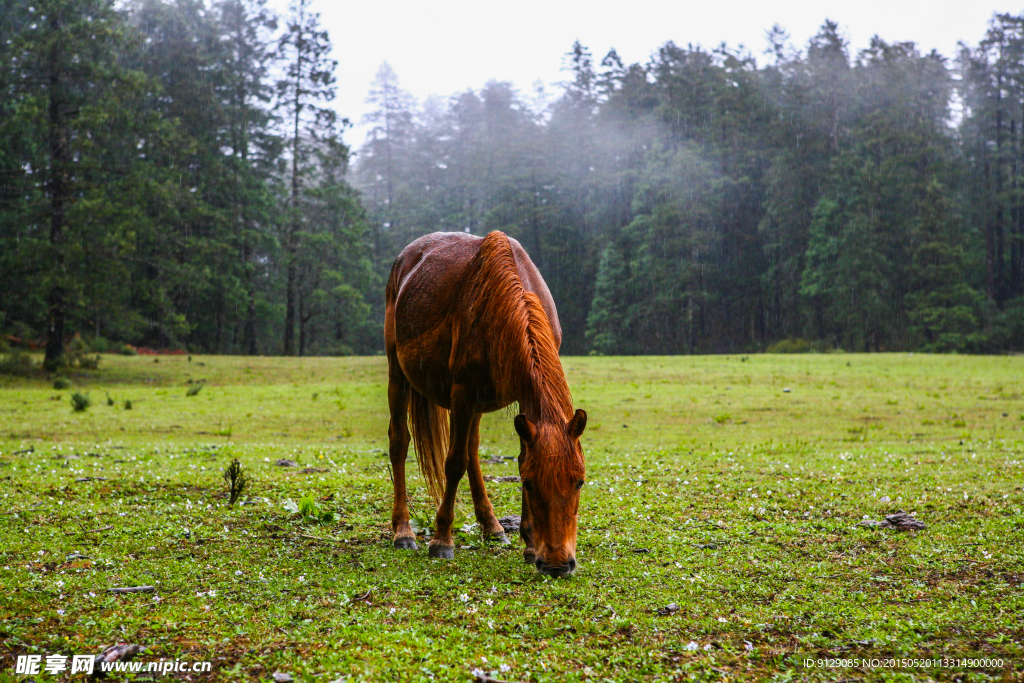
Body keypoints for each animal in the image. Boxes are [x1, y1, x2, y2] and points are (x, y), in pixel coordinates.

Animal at [385, 231, 589, 577]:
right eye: (530, 484)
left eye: (579, 481)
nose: (557, 564)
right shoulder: (462, 392)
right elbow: (453, 463)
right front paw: (441, 540)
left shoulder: (518, 397)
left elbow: (517, 456)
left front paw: (529, 544)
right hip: (398, 371)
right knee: (400, 442)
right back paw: (403, 531)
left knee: (471, 448)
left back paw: (492, 526)